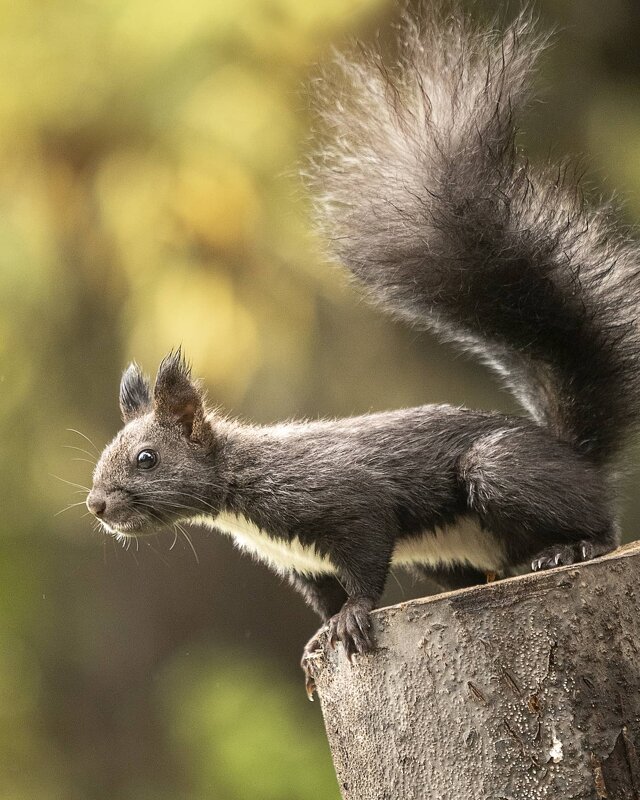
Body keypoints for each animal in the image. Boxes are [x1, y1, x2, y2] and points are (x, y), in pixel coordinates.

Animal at [85, 4, 640, 692]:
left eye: (147, 459)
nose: (97, 506)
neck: (240, 486)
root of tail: (573, 455)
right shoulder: (302, 563)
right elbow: (323, 597)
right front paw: (317, 641)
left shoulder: (346, 501)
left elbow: (366, 563)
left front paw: (352, 618)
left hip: (503, 470)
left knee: (601, 522)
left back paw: (575, 547)